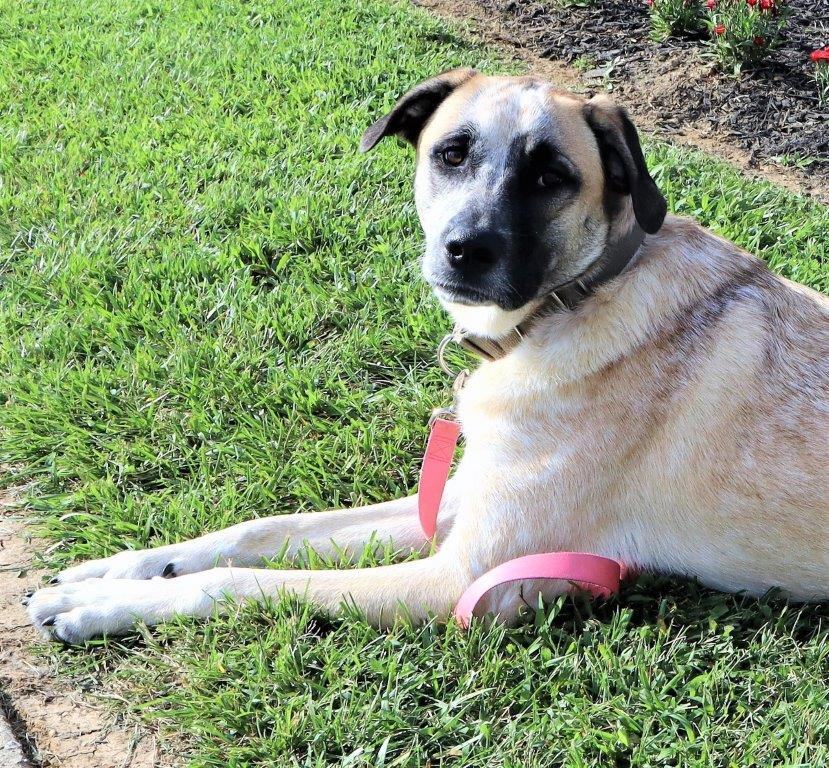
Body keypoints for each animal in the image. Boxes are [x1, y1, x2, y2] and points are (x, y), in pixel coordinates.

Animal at [27, 69, 828, 640]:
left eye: (551, 176)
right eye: (451, 153)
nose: (465, 250)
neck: (571, 303)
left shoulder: (470, 577)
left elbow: (243, 582)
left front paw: (107, 606)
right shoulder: (461, 500)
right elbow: (265, 530)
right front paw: (115, 570)